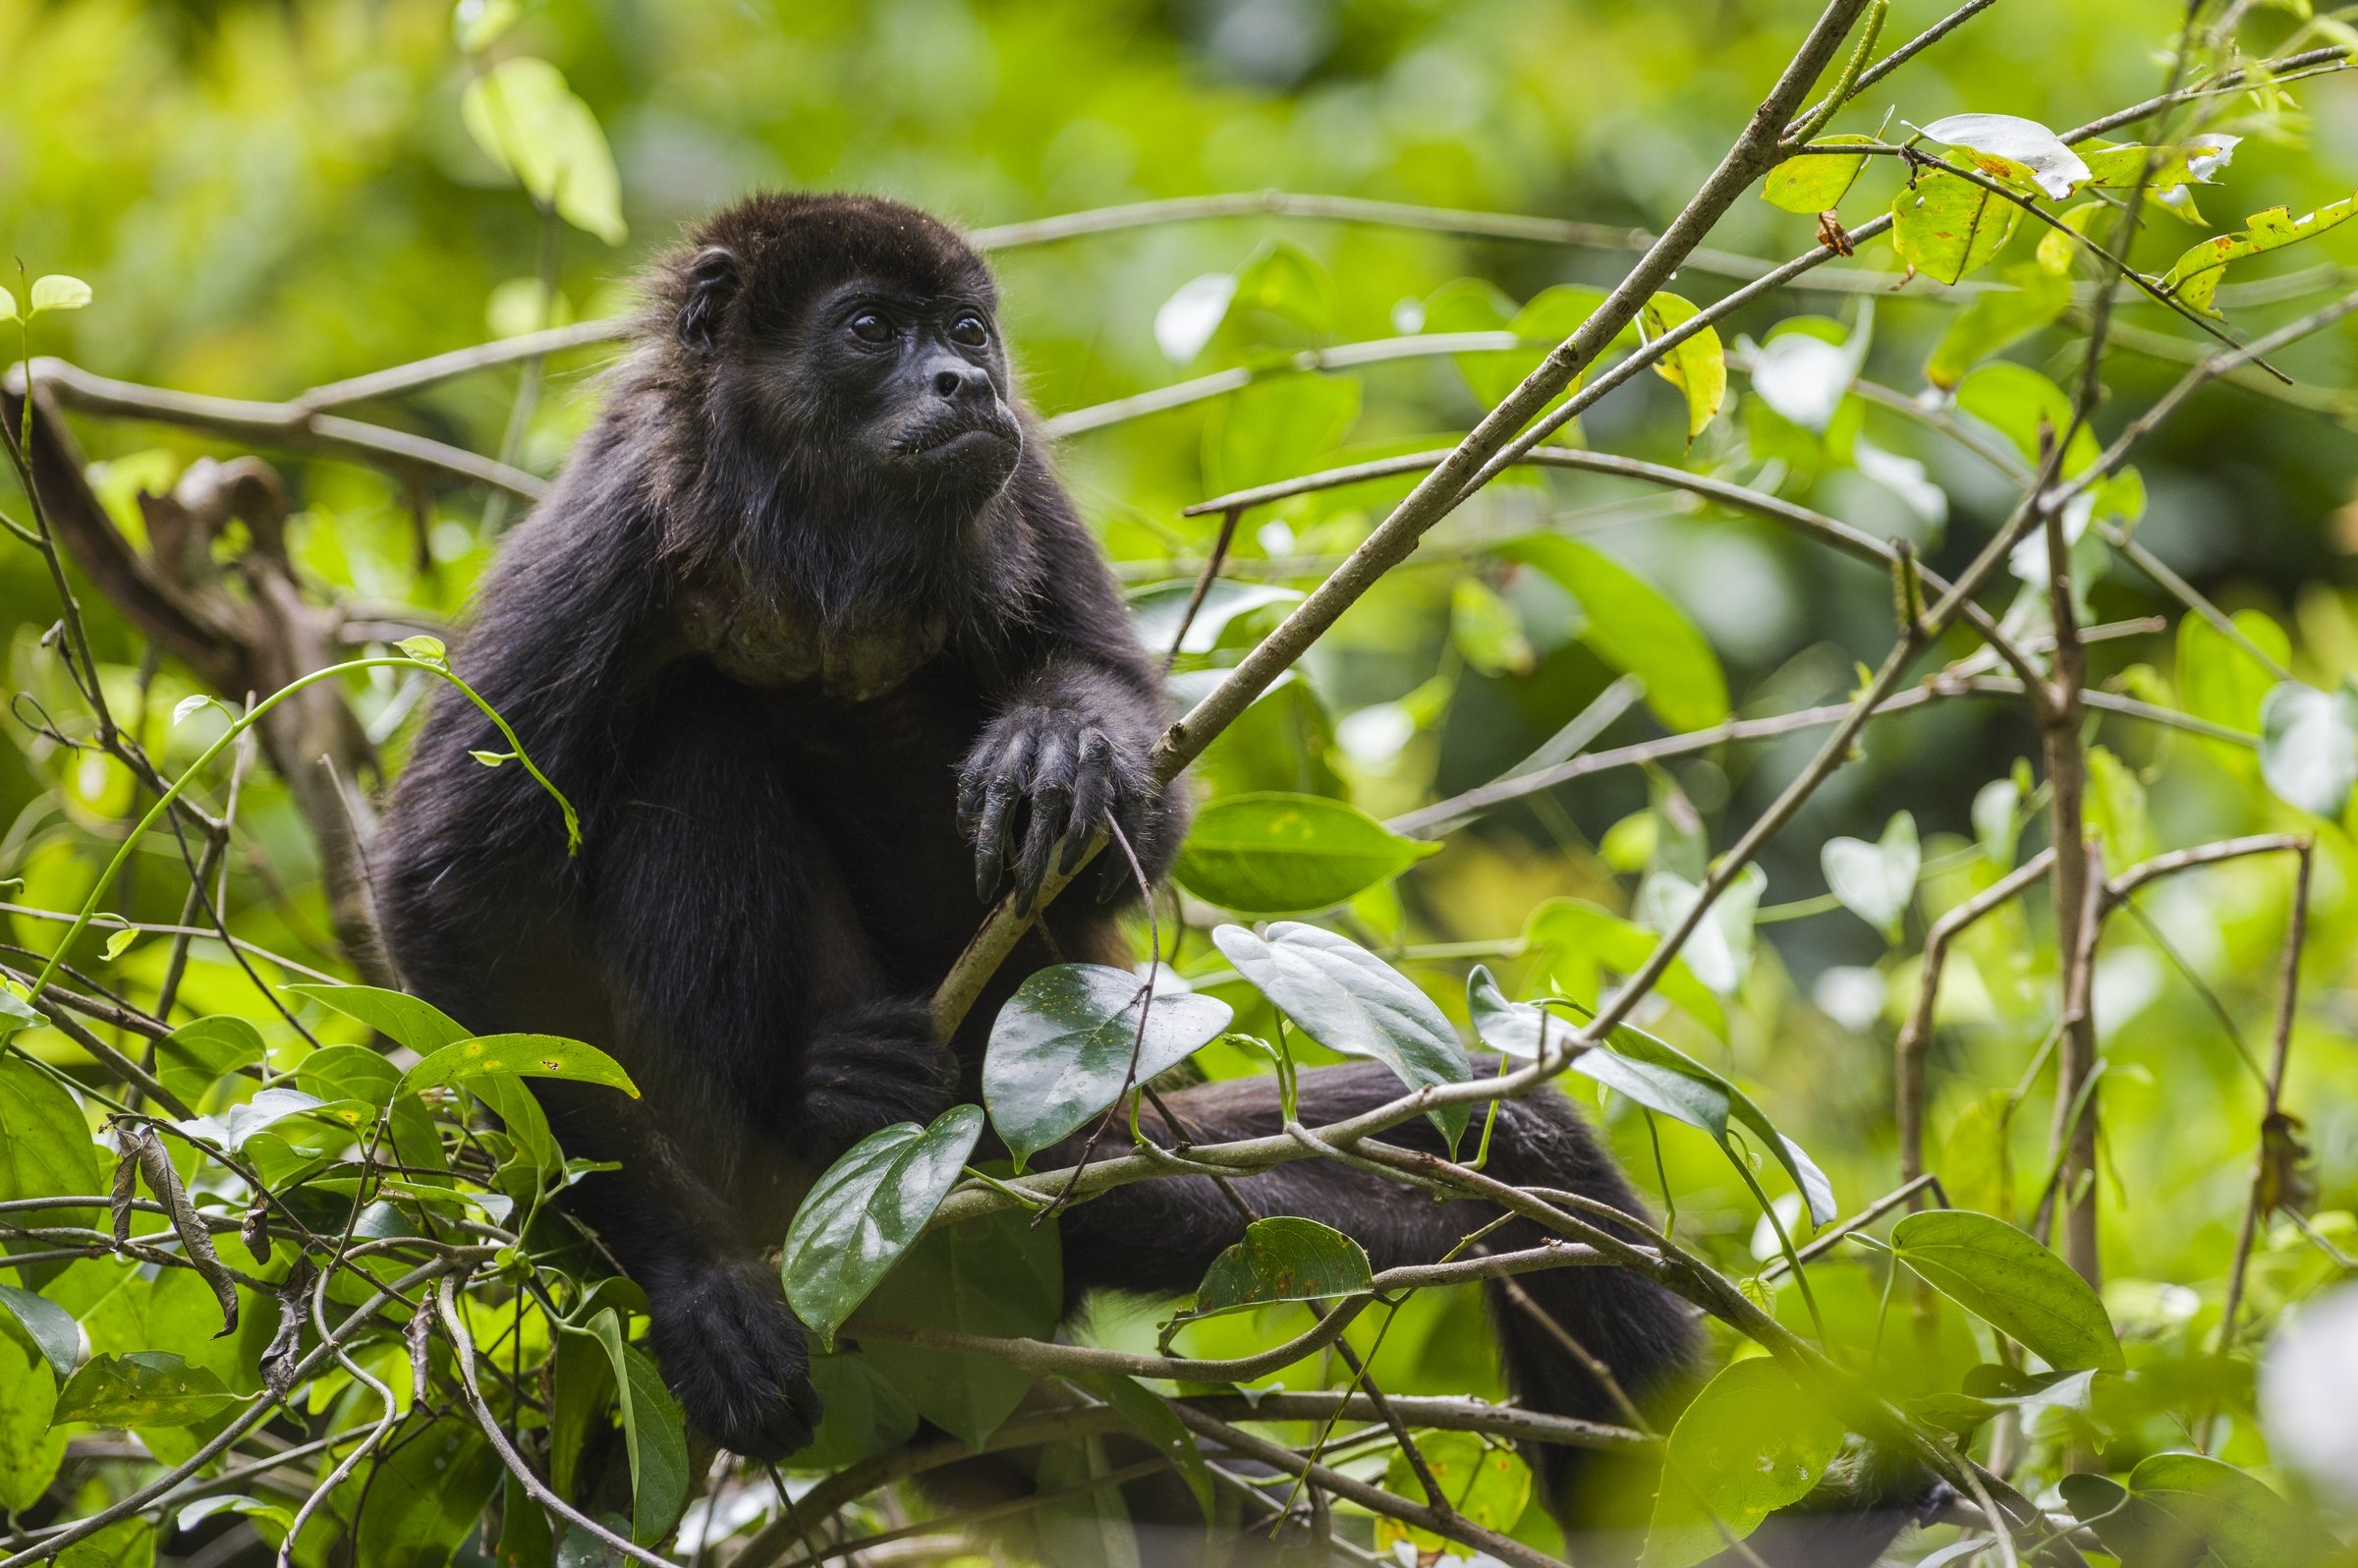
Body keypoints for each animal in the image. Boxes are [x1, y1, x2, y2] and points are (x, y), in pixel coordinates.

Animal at [377, 190, 1934, 1556]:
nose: (964, 382)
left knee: (1520, 1159)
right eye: (871, 328)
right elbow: (447, 886)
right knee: (692, 742)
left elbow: (1142, 786)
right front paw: (694, 1283)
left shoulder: (1023, 484)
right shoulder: (616, 524)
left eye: (968, 330)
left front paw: (1061, 743)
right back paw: (831, 1113)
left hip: (1104, 1171)